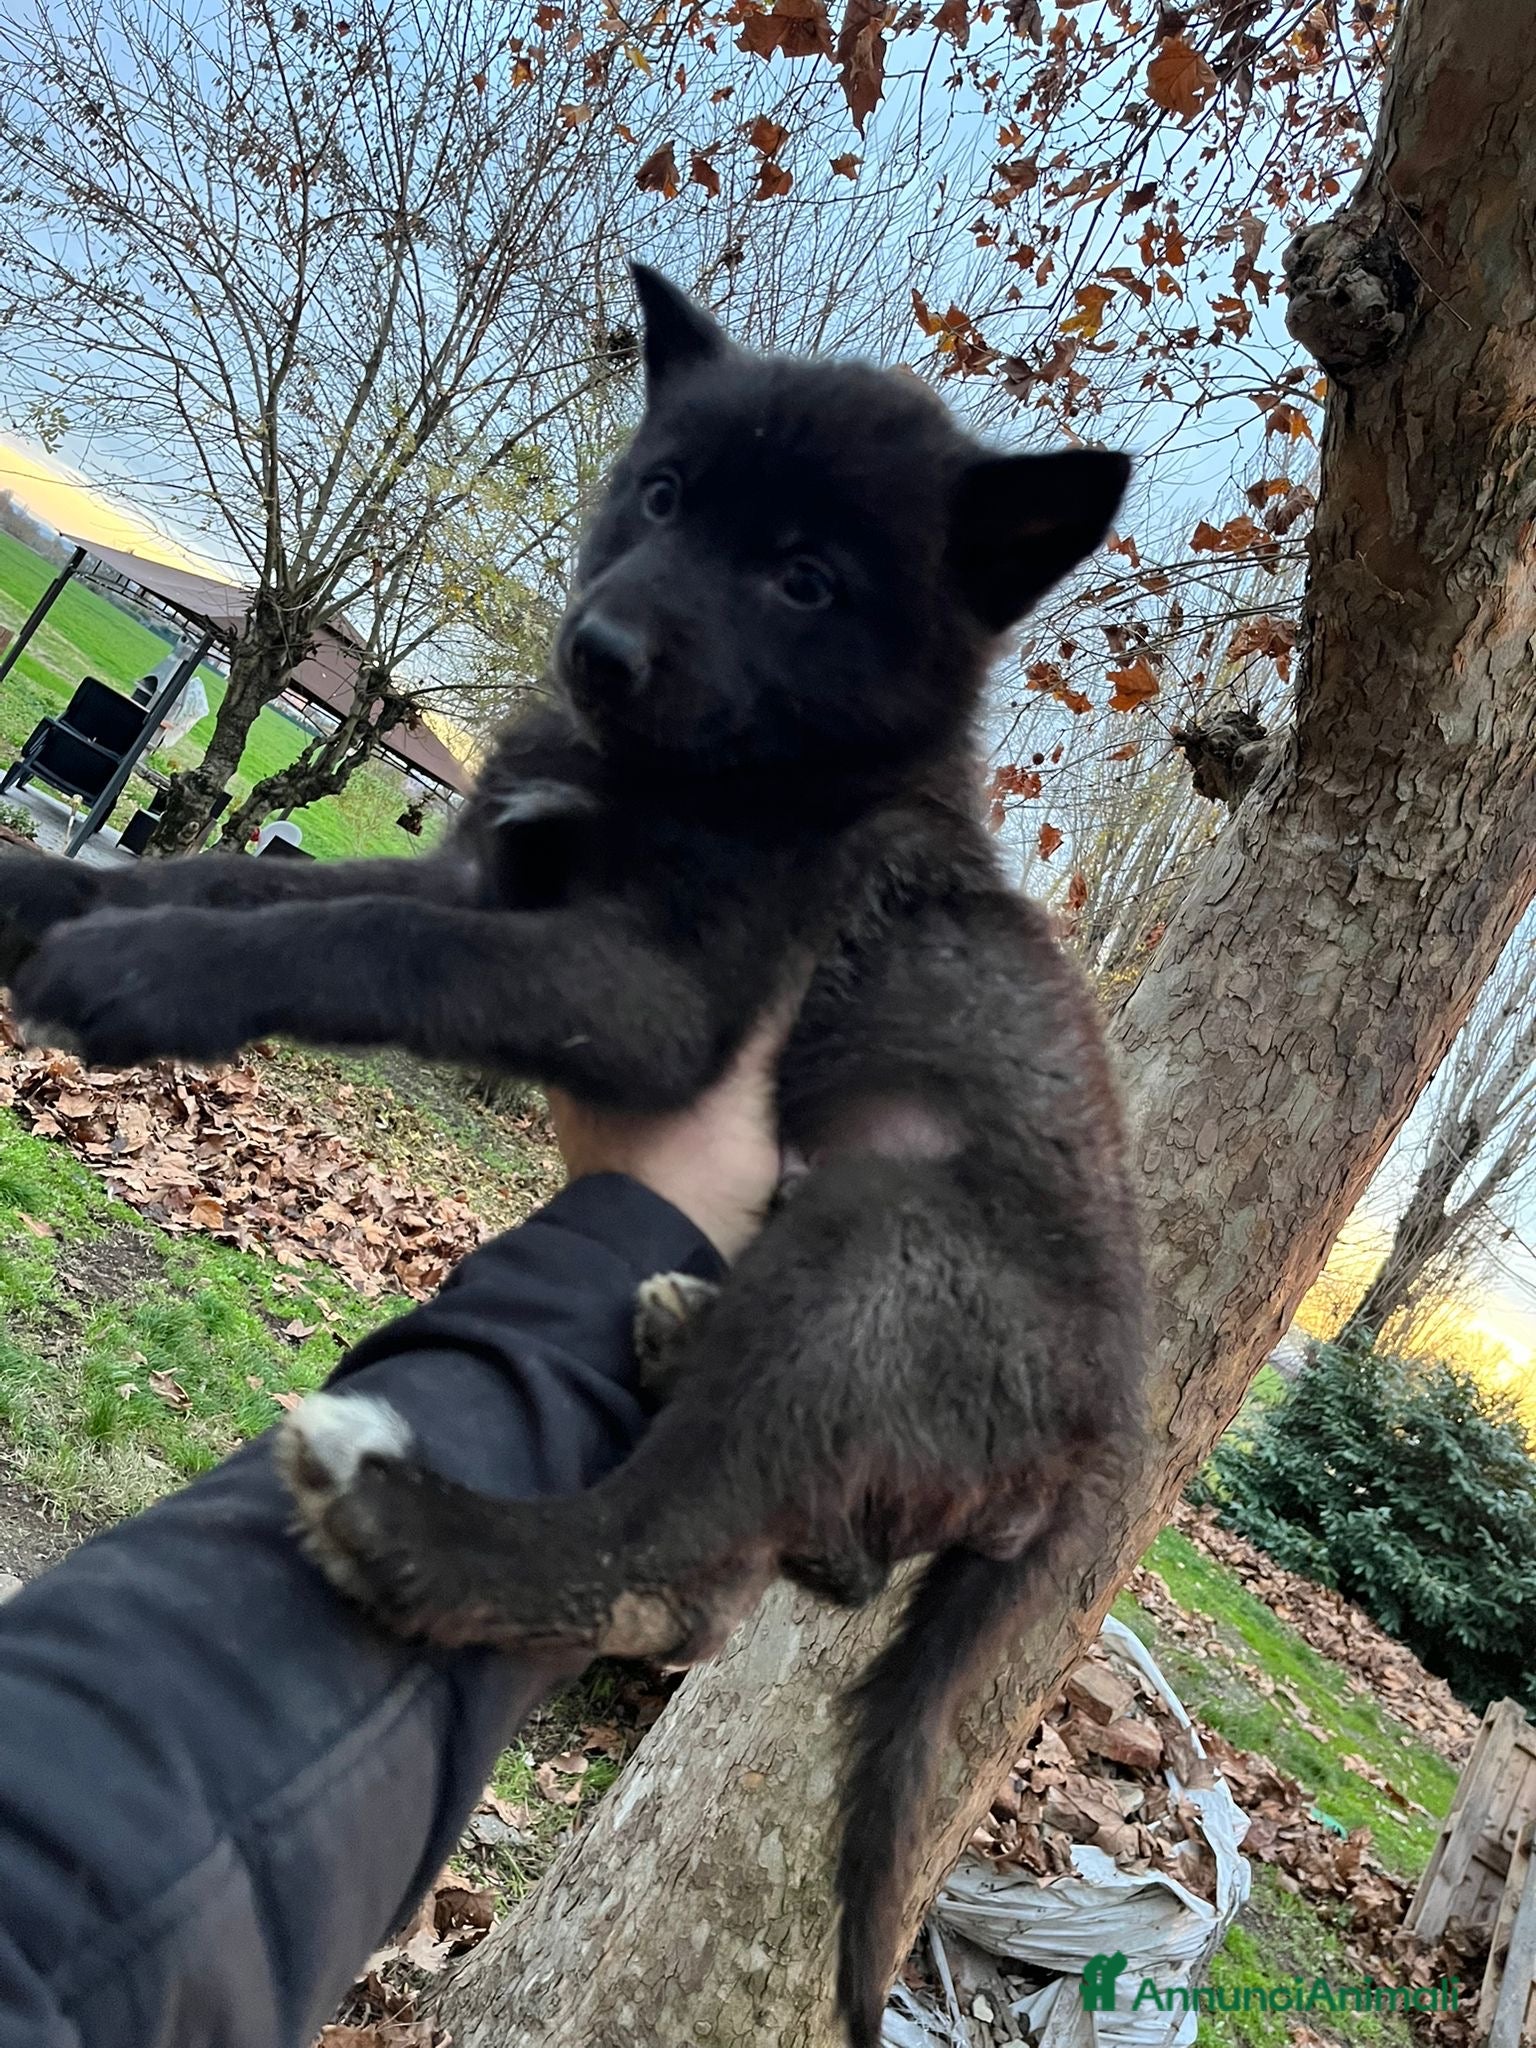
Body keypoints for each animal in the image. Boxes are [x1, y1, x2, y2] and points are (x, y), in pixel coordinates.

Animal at [0, 266, 1144, 2047]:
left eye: (807, 579)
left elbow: (377, 941)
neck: (699, 778)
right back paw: (676, 1328)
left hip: (885, 1243)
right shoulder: (486, 871)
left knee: (670, 1565)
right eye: (662, 495)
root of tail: (1101, 1434)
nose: (599, 648)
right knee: (799, 1547)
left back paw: (417, 1523)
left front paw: (141, 977)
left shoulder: (648, 993)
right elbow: (274, 888)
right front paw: (55, 897)